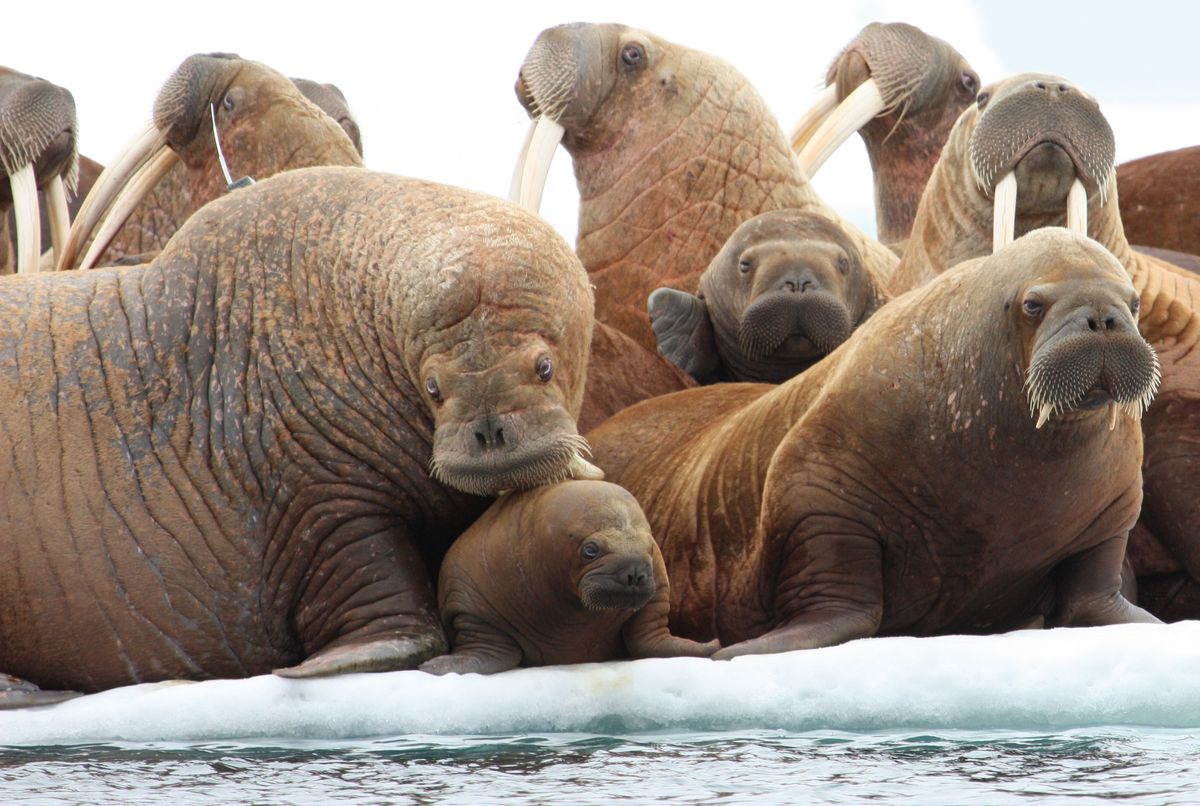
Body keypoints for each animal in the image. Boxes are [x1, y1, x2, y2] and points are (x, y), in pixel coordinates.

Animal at [422, 479, 720, 671]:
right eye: (590, 550)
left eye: (650, 547)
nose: (635, 572)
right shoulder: (468, 603)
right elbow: (490, 646)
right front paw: (435, 664)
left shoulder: (657, 596)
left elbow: (651, 638)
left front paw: (709, 645)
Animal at [590, 230, 1161, 657]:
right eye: (1033, 304)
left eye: (1133, 301)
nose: (1103, 316)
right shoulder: (816, 485)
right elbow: (844, 595)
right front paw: (731, 651)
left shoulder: (1113, 513)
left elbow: (1093, 593)